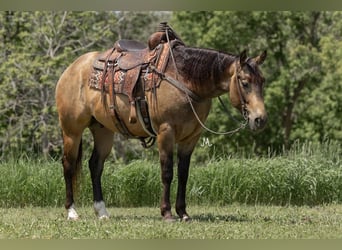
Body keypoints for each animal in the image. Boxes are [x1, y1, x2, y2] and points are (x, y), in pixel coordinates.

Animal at [54, 22, 268, 221]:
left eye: (262, 81)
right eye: (245, 82)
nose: (260, 119)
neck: (184, 79)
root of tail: (72, 68)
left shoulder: (191, 137)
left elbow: (183, 174)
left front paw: (183, 213)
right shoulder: (166, 132)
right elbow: (167, 172)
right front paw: (167, 212)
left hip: (103, 131)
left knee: (95, 166)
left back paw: (102, 211)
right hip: (72, 130)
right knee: (68, 164)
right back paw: (72, 211)